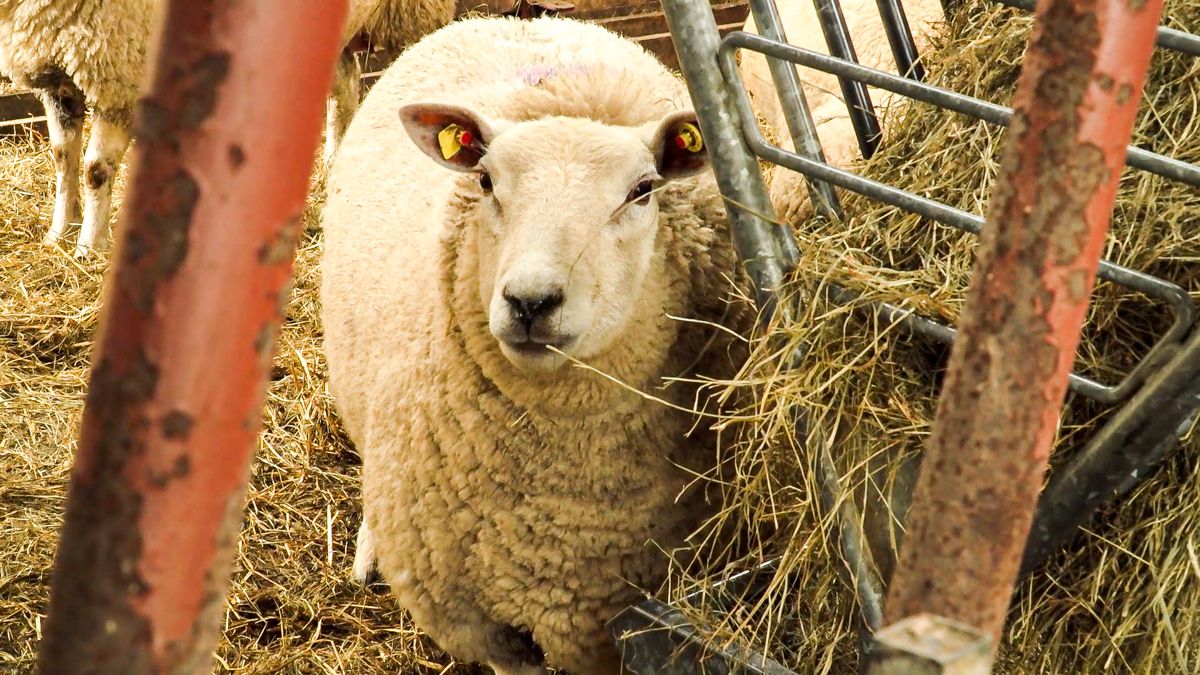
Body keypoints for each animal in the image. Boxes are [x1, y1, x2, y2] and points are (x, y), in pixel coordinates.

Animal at [320, 15, 749, 674]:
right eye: (485, 180)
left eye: (643, 189)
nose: (529, 301)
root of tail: (519, 18)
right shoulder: (472, 620)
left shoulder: (607, 620)